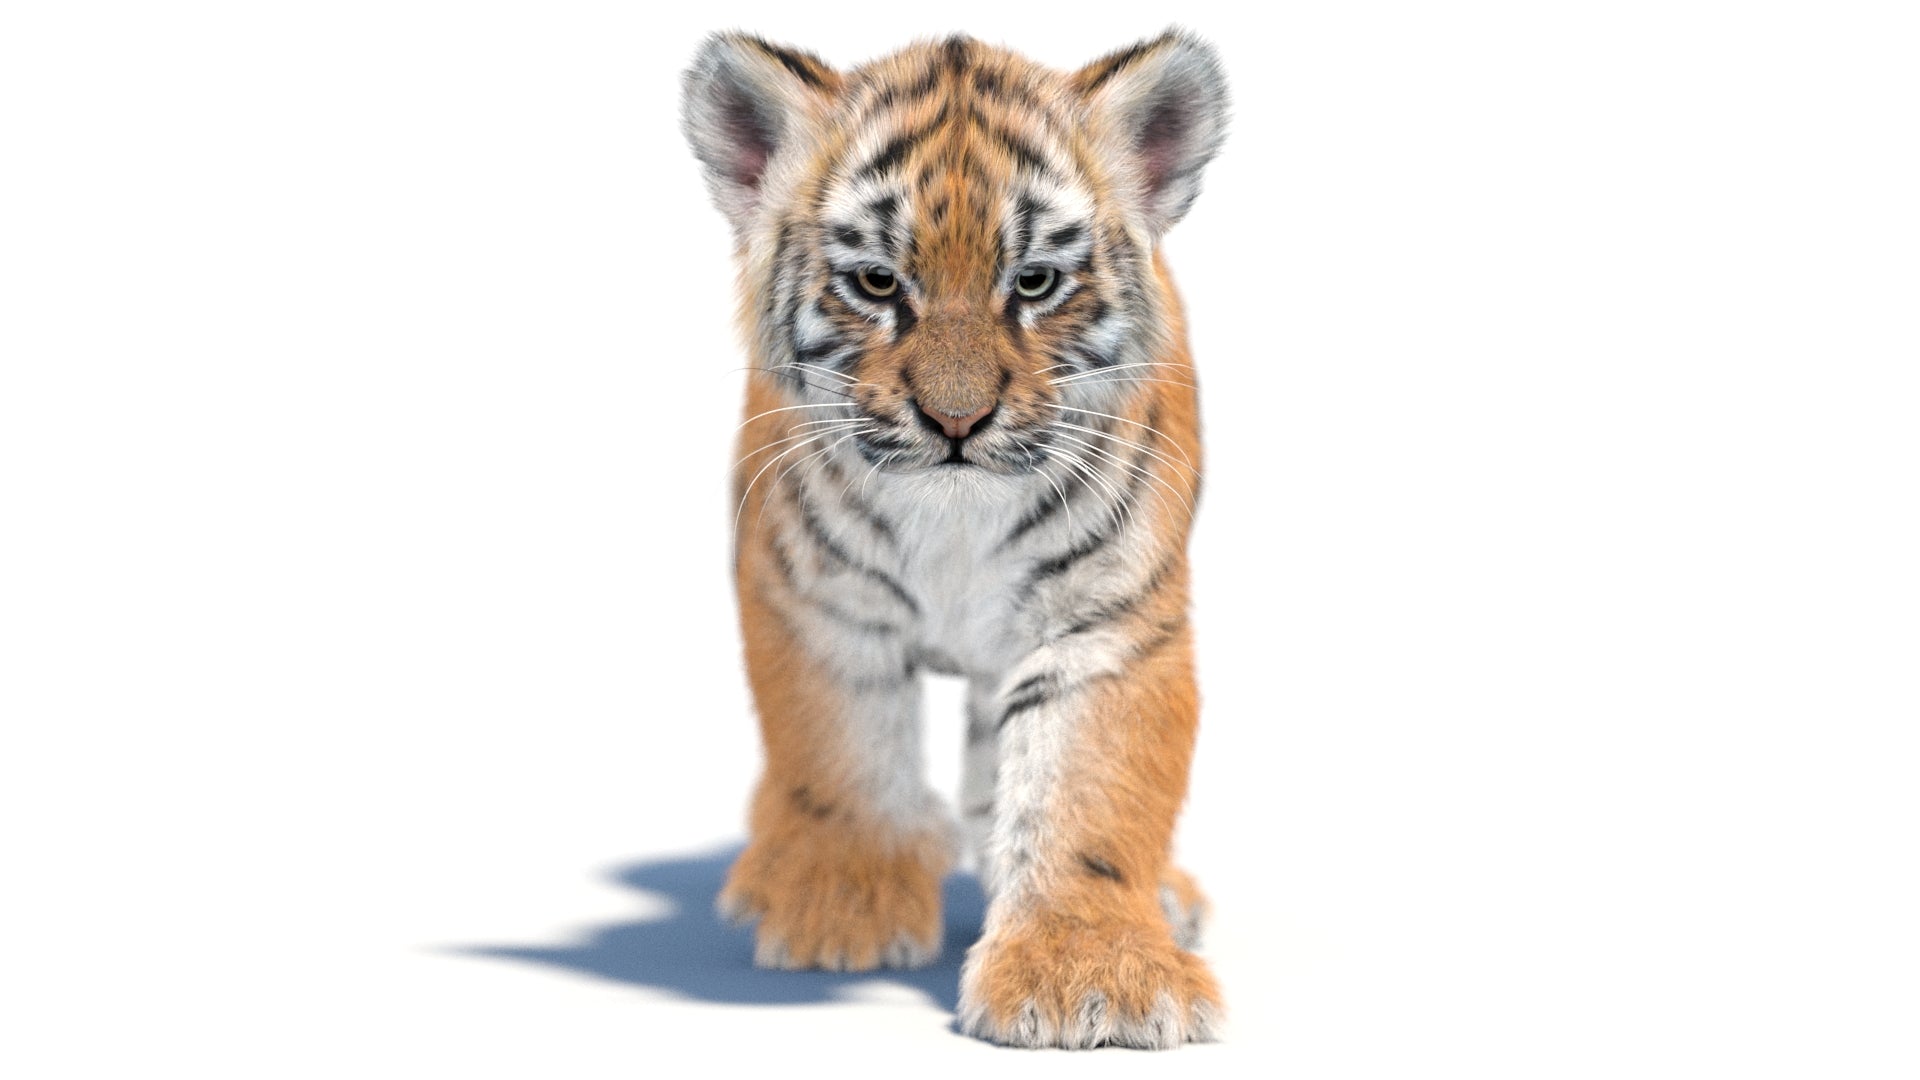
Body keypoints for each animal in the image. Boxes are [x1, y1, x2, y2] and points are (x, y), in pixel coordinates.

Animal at [680, 28, 1229, 1049]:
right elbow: (840, 750)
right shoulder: (818, 603)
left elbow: (1086, 791)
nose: (956, 421)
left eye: (1034, 282)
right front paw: (842, 910)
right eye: (878, 282)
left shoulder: (1103, 626)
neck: (955, 520)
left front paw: (1090, 978)